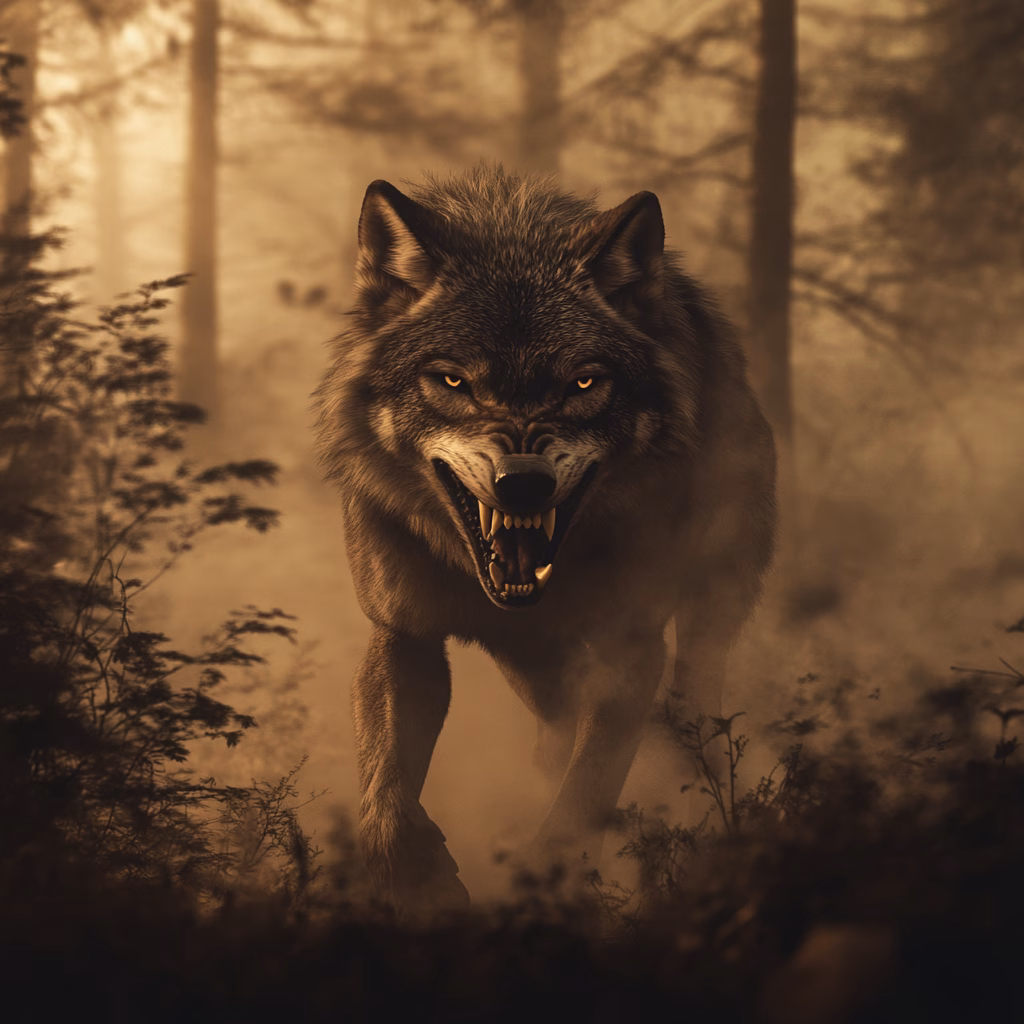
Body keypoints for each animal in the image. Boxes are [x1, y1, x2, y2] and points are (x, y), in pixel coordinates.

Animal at [315, 165, 775, 912]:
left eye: (583, 382)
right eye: (453, 380)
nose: (523, 484)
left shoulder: (630, 648)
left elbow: (585, 792)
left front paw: (548, 884)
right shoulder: (403, 634)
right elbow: (385, 789)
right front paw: (421, 882)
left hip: (709, 610)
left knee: (692, 712)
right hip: (534, 671)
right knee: (553, 740)